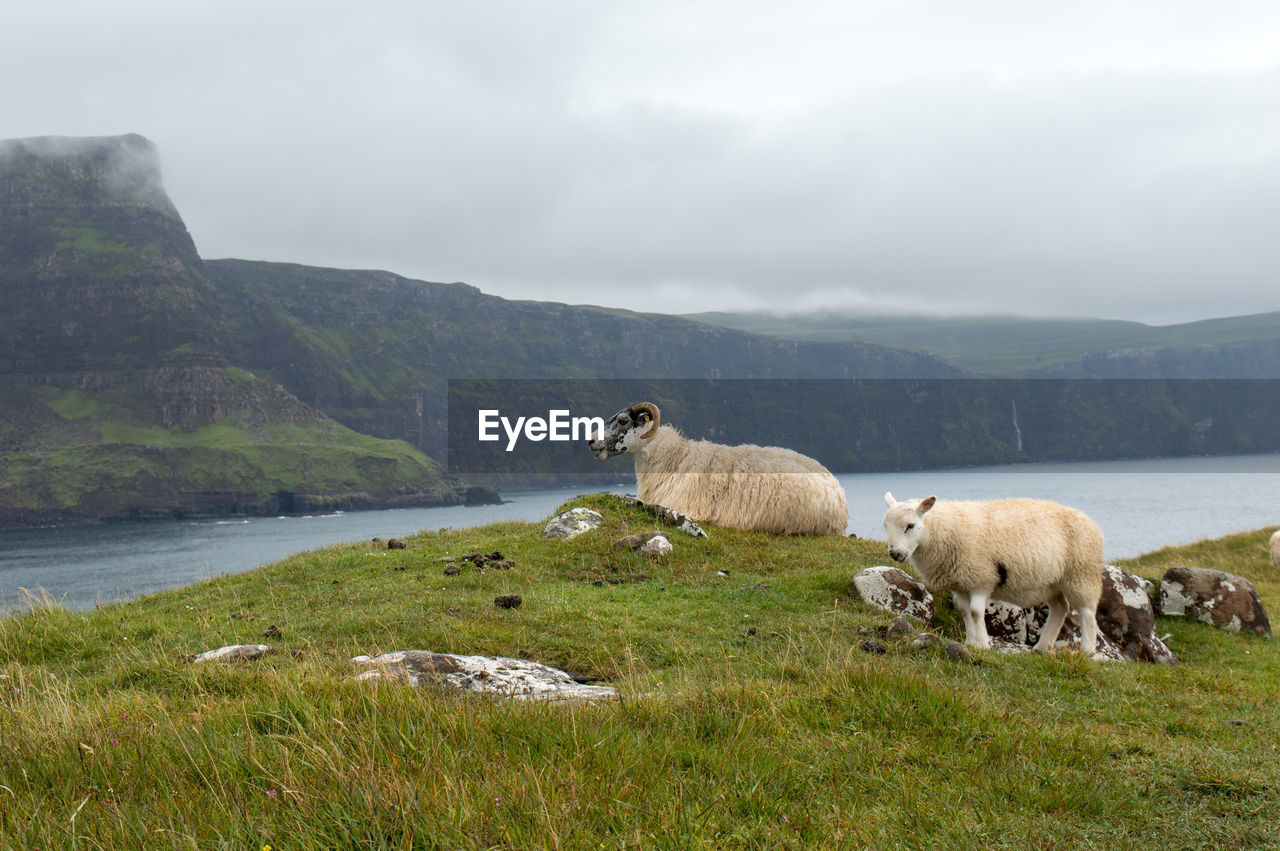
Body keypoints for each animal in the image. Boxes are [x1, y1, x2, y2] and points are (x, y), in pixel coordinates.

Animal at [885, 491, 1105, 650]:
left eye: (910, 525)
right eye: (885, 526)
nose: (895, 554)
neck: (942, 531)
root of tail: (1092, 524)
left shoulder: (981, 577)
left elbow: (975, 612)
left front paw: (983, 644)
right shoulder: (960, 583)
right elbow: (964, 611)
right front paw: (971, 642)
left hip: (1082, 574)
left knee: (1087, 613)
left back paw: (1087, 651)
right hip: (1052, 583)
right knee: (1060, 609)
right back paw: (1042, 647)